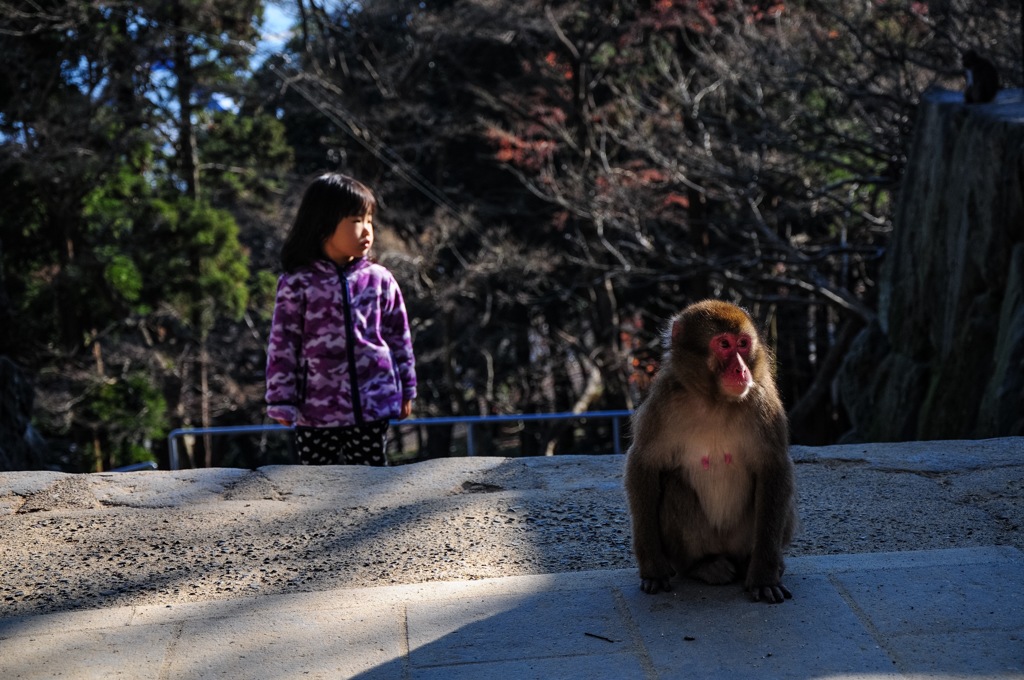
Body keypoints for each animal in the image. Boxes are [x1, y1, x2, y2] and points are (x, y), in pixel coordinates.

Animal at [618, 301, 794, 602]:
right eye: (724, 344)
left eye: (743, 344)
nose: (741, 371)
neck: (715, 401)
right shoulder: (662, 403)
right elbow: (644, 465)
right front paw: (653, 568)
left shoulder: (763, 402)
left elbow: (774, 467)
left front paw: (764, 575)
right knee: (675, 487)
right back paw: (702, 565)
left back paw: (750, 563)